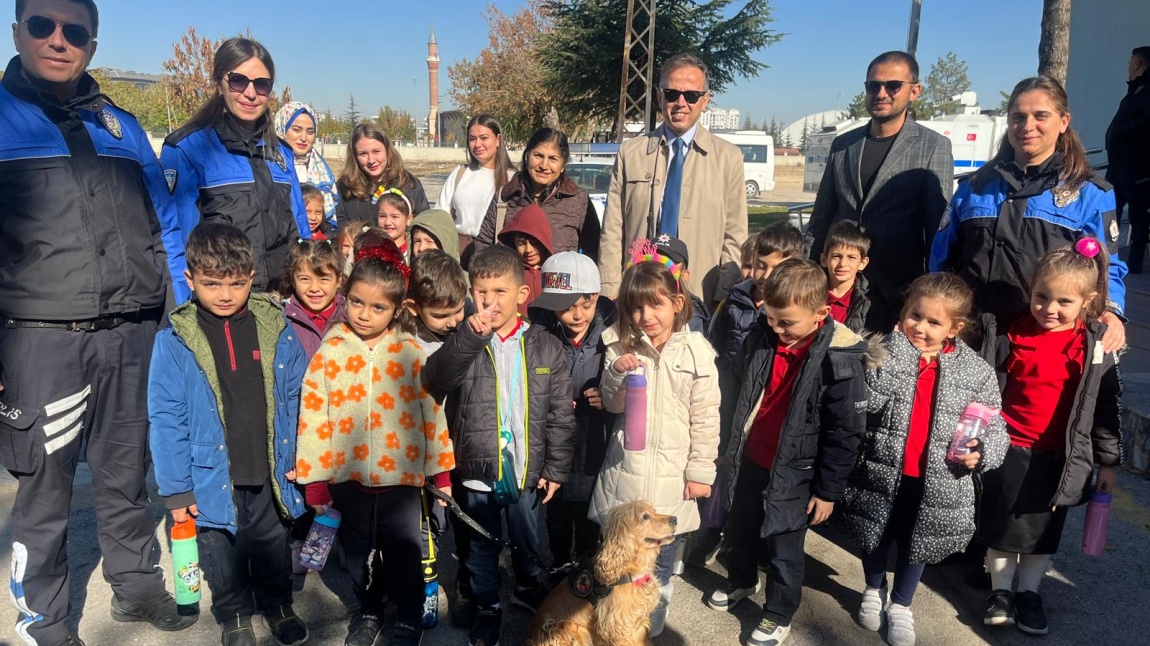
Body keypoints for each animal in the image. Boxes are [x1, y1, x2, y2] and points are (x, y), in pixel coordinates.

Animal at [526, 503, 676, 643]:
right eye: (645, 516)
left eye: (655, 511)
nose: (675, 519)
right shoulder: (618, 629)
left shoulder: (638, 623)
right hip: (572, 629)